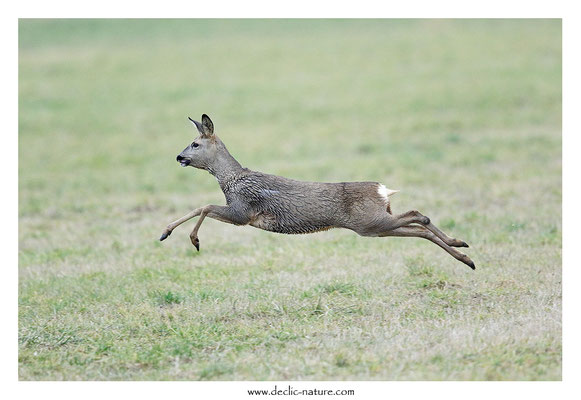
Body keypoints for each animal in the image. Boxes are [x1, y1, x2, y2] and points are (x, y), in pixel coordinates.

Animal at [157, 116, 472, 272]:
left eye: (195, 143)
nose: (178, 157)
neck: (231, 179)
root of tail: (382, 189)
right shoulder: (242, 214)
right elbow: (203, 207)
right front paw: (169, 233)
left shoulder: (243, 212)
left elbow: (204, 206)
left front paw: (185, 238)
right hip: (375, 225)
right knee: (419, 225)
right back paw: (464, 253)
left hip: (370, 222)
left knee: (419, 216)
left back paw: (462, 251)